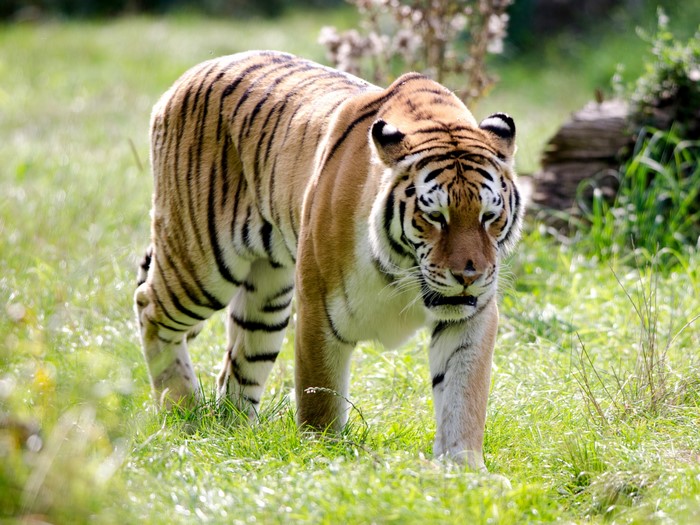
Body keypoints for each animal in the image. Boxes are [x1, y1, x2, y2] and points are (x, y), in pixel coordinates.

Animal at [134, 50, 523, 471]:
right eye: (435, 217)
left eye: (489, 216)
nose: (469, 275)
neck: (402, 271)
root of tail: (191, 73)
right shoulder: (319, 307)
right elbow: (319, 391)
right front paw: (324, 457)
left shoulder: (471, 316)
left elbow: (462, 394)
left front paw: (464, 468)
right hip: (202, 263)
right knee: (149, 305)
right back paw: (181, 409)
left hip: (267, 300)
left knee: (237, 366)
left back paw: (235, 432)